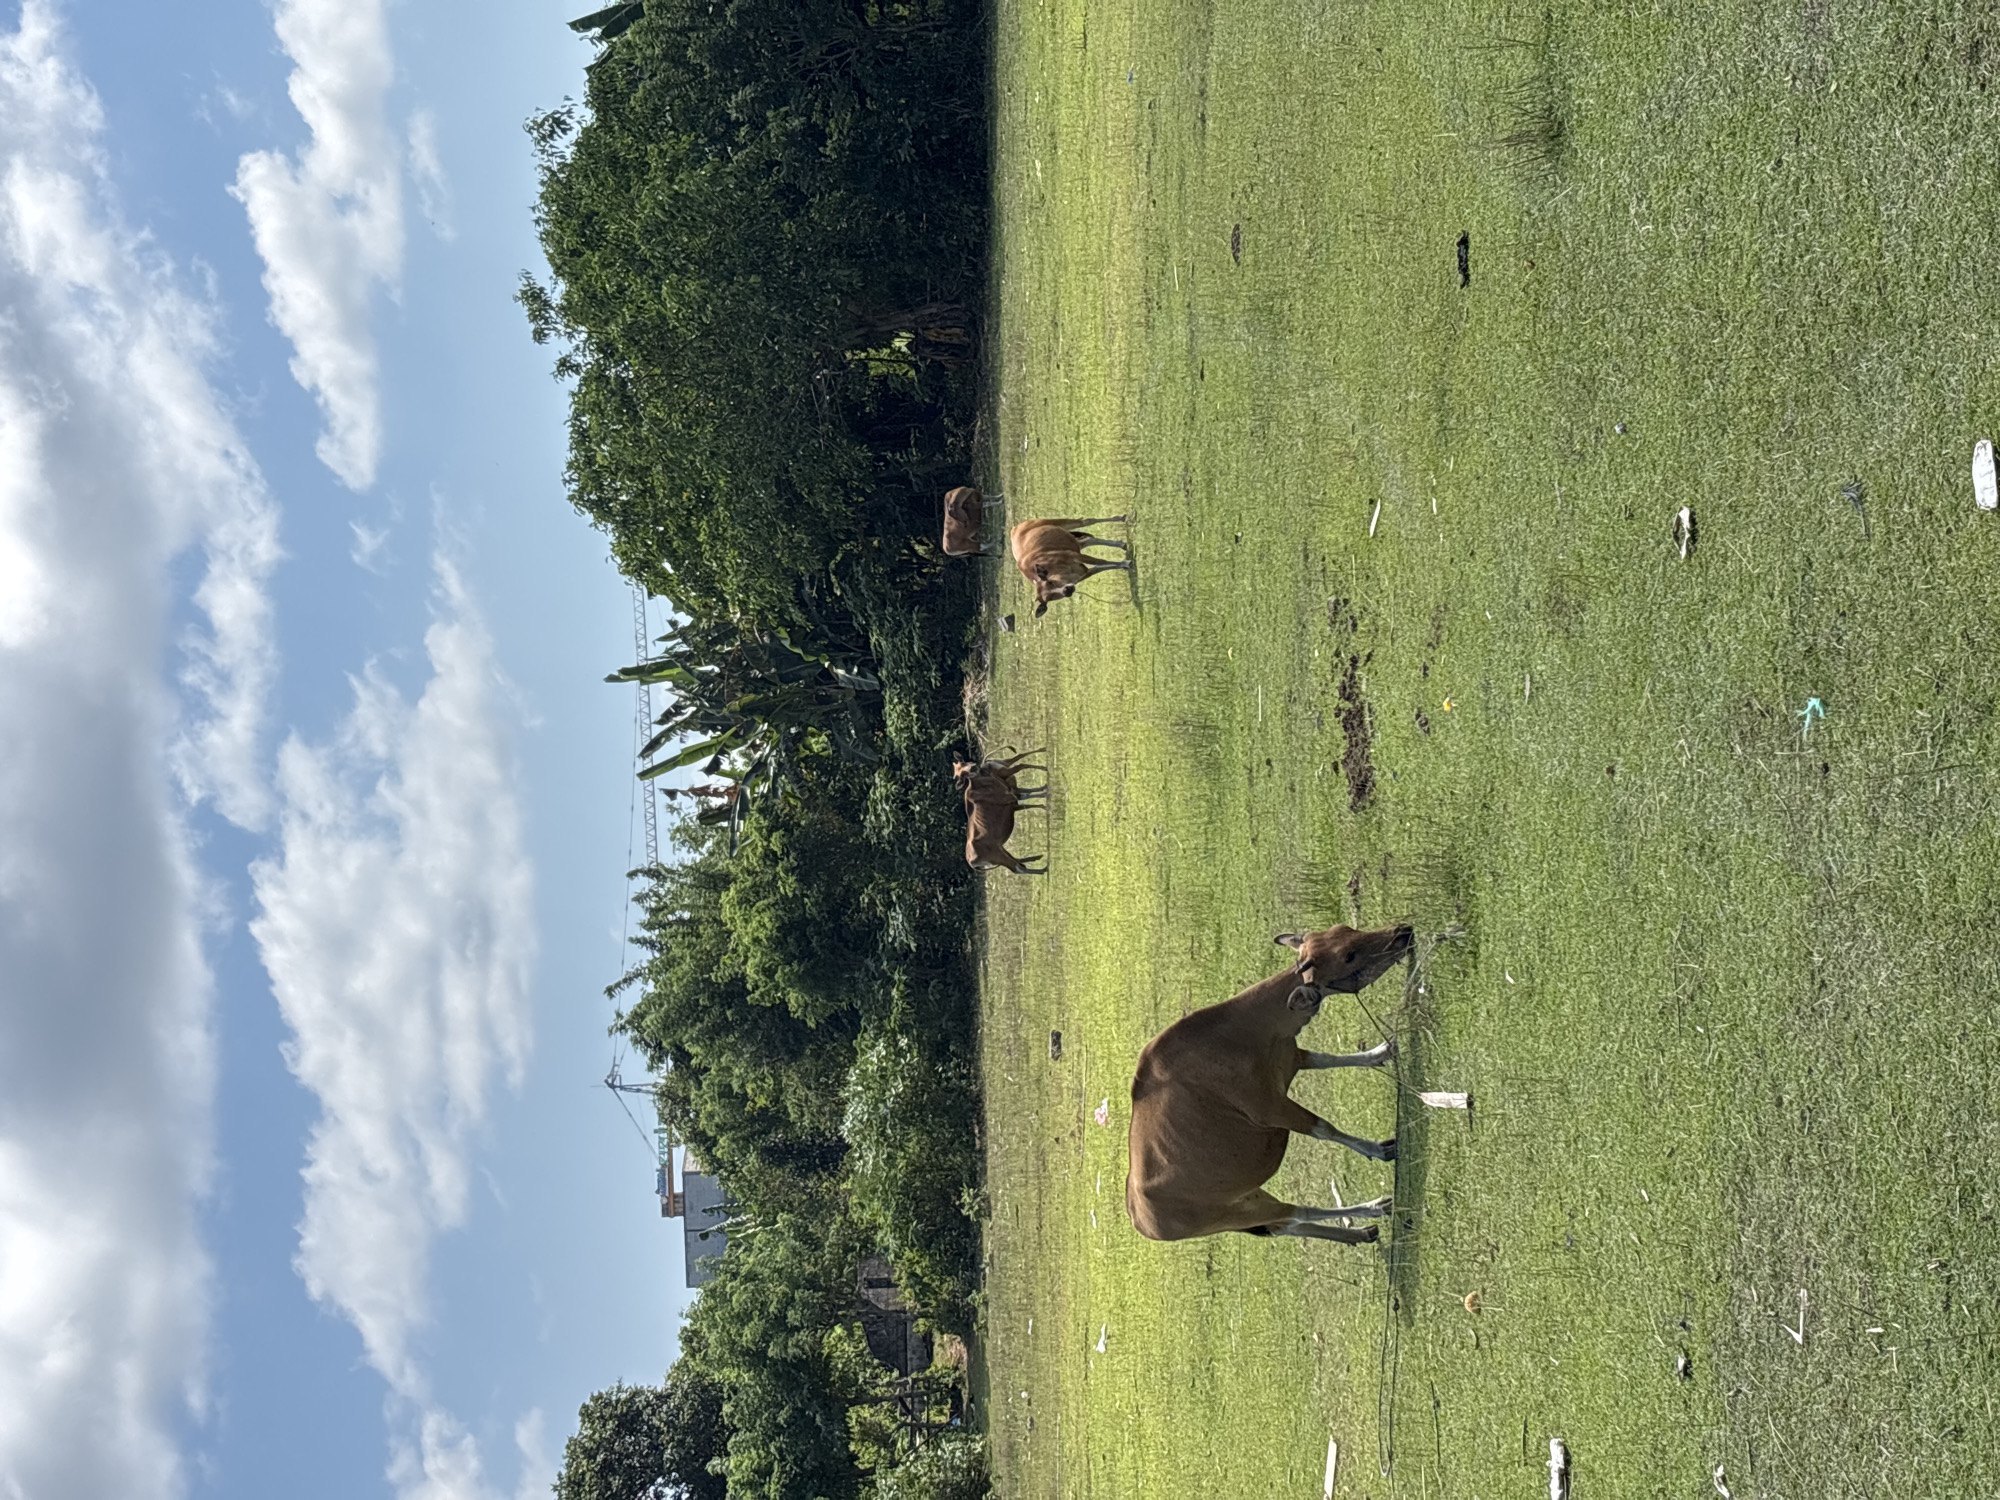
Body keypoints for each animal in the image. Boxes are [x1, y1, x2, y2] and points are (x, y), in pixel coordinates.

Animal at [1124, 924, 1414, 1244]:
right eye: (1348, 955)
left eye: (1346, 930)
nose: (1403, 931)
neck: (1242, 1031)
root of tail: (1141, 1220)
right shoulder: (1271, 1108)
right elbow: (1324, 1128)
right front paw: (1376, 1149)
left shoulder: (1292, 1056)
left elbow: (1328, 1058)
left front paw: (1380, 1052)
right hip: (1240, 1213)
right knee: (1298, 1214)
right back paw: (1371, 1210)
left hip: (1249, 1199)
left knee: (1288, 1224)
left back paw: (1361, 1231)